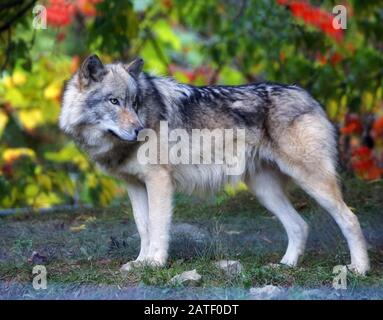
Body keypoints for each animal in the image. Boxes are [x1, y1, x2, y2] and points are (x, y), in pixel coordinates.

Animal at [60, 55, 372, 276]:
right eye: (114, 101)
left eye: (135, 104)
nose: (139, 131)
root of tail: (309, 97)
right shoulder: (135, 185)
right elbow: (144, 226)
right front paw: (140, 262)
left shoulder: (159, 181)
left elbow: (158, 226)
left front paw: (155, 263)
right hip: (265, 190)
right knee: (300, 225)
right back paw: (285, 266)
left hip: (311, 181)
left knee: (351, 218)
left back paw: (359, 269)